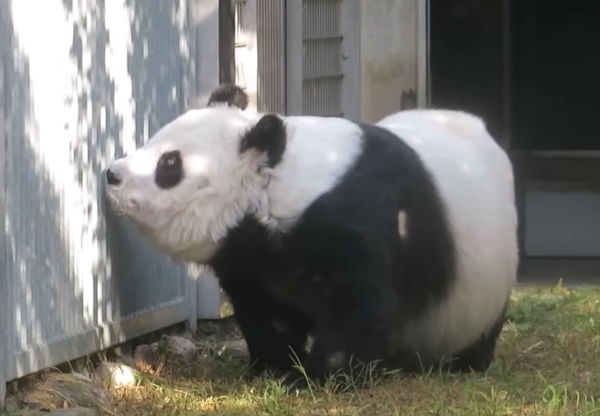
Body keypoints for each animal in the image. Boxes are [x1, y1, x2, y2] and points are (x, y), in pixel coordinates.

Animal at [103, 84, 516, 390]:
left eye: (169, 164)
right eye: (154, 141)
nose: (112, 174)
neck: (280, 185)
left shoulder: (356, 215)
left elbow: (359, 304)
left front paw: (316, 377)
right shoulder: (251, 258)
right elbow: (265, 310)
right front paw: (273, 367)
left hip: (485, 276)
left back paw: (468, 362)